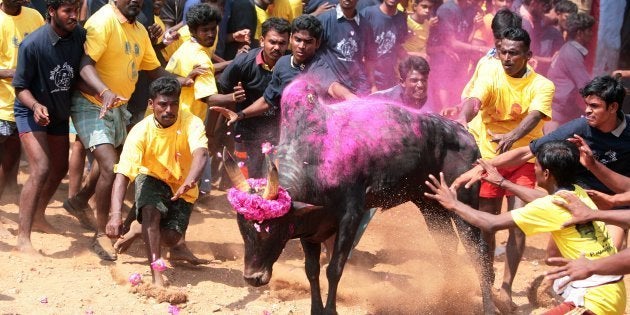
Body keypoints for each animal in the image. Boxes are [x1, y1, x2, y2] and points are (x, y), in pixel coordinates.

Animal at [225, 80, 496, 314]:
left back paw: (487, 306)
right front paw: (316, 309)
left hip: (462, 205)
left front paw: (330, 310)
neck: (315, 161)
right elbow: (311, 270)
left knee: (479, 253)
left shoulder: (351, 217)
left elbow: (334, 269)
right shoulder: (309, 228)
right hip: (430, 207)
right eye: (242, 227)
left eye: (272, 227)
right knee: (448, 248)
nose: (253, 278)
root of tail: (465, 134)